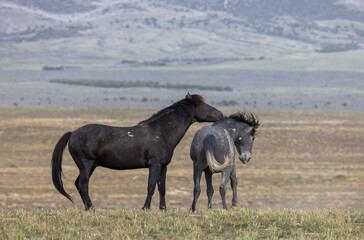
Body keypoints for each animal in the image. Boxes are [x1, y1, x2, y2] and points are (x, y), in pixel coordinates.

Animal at [50, 94, 222, 210]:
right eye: (202, 104)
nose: (220, 115)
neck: (161, 132)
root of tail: (73, 133)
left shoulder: (163, 166)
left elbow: (162, 188)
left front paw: (163, 209)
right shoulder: (154, 165)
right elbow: (151, 186)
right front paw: (146, 208)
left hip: (90, 166)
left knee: (79, 184)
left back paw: (88, 208)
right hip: (86, 164)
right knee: (83, 184)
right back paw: (92, 209)